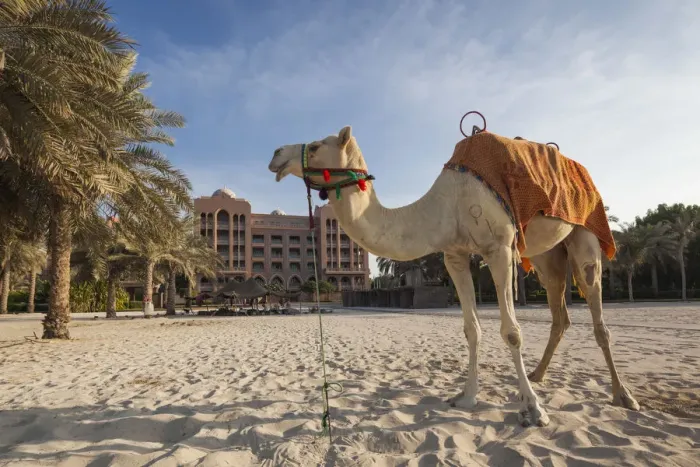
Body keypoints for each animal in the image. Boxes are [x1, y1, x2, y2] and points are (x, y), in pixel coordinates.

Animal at [267, 125, 639, 427]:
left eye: (317, 145)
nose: (276, 155)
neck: (444, 207)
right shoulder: (455, 256)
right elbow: (471, 329)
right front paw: (467, 397)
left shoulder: (498, 247)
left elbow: (512, 332)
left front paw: (533, 410)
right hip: (545, 255)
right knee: (559, 311)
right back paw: (537, 375)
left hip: (586, 234)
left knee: (597, 312)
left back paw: (623, 396)